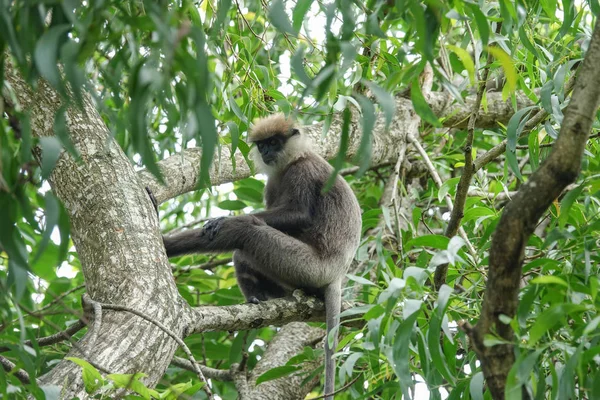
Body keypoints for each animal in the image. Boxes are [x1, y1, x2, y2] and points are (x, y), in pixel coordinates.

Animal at [161, 112, 360, 396]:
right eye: (263, 144)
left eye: (274, 142)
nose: (266, 151)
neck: (291, 161)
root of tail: (337, 276)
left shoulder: (303, 170)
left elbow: (299, 214)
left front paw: (221, 220)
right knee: (243, 255)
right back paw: (259, 298)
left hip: (308, 266)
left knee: (248, 230)